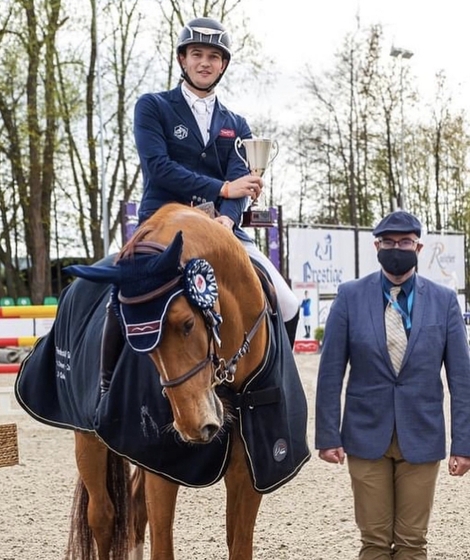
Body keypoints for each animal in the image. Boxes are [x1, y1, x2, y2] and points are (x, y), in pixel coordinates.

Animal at [60, 205, 302, 560]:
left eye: (187, 324)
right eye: (133, 340)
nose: (192, 426)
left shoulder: (251, 467)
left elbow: (239, 543)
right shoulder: (162, 467)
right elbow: (162, 544)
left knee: (134, 507)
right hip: (88, 438)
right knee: (104, 516)